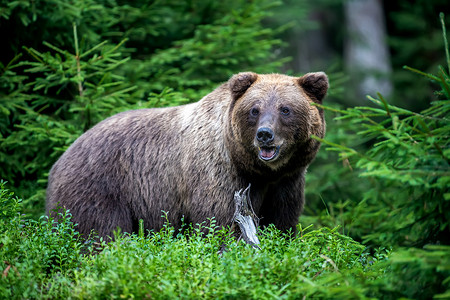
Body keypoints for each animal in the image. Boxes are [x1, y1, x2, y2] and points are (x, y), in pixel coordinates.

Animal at [44, 72, 326, 239]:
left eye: (285, 109)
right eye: (254, 110)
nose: (265, 135)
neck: (256, 169)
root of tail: (61, 158)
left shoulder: (286, 182)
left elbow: (282, 221)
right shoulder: (218, 172)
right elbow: (219, 221)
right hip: (100, 186)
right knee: (98, 231)